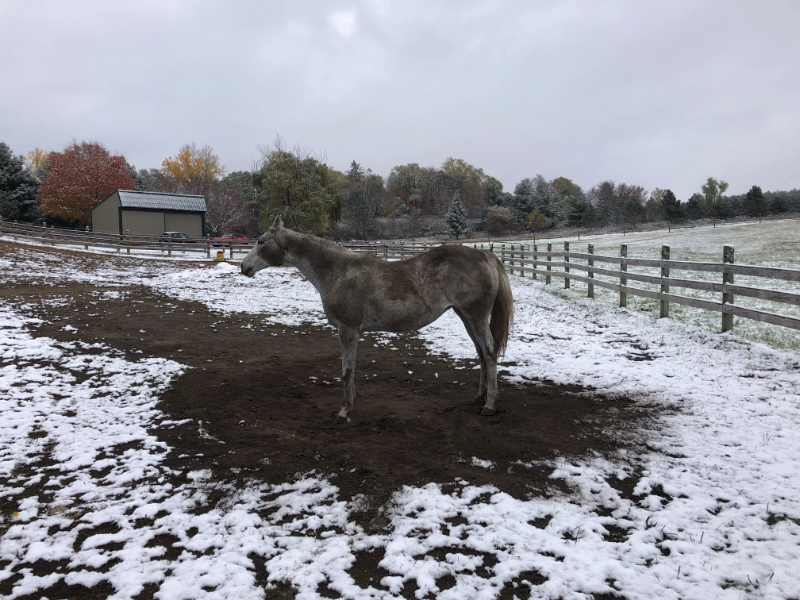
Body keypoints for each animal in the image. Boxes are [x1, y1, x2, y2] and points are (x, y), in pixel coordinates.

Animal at [240, 216, 514, 423]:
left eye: (260, 241)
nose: (244, 267)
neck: (338, 271)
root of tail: (486, 256)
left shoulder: (348, 329)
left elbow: (346, 370)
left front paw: (344, 411)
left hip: (476, 316)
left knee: (489, 353)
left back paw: (489, 404)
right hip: (465, 316)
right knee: (481, 354)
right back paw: (479, 396)